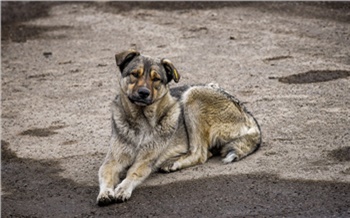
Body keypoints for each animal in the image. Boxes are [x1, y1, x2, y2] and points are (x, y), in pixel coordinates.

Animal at [97, 49, 262, 206]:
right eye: (134, 74)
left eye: (156, 79)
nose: (144, 93)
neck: (140, 121)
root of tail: (248, 114)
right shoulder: (113, 160)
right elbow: (104, 173)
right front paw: (105, 193)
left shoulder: (145, 160)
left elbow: (133, 173)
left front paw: (122, 189)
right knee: (206, 152)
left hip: (193, 95)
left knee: (200, 153)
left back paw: (173, 163)